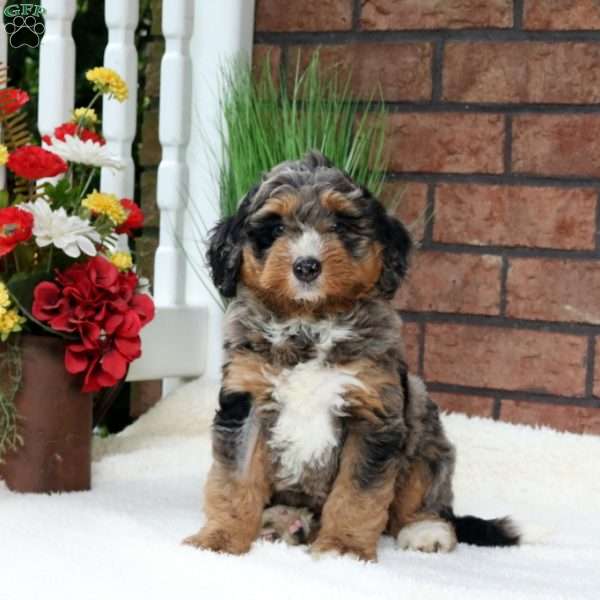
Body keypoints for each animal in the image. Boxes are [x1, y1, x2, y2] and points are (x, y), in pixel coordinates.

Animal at [184, 152, 520, 560]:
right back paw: (283, 521)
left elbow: (358, 493)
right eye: (275, 228)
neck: (309, 324)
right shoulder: (245, 403)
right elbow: (235, 479)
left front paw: (342, 549)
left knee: (425, 496)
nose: (306, 266)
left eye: (341, 225)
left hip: (424, 429)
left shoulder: (371, 412)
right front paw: (219, 540)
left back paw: (425, 531)